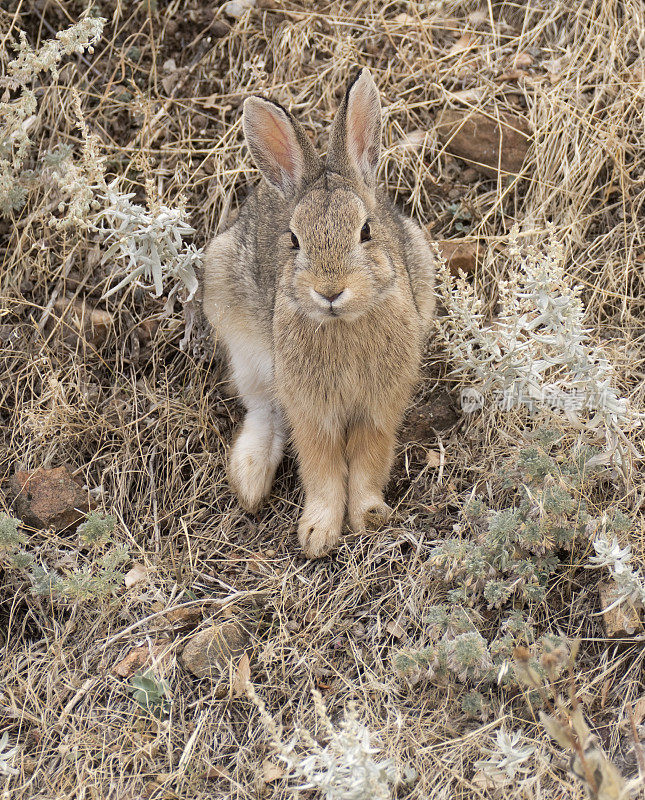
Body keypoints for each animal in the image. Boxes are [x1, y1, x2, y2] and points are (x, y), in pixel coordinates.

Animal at [201, 67, 432, 556]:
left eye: (366, 231)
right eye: (293, 239)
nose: (329, 291)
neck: (343, 324)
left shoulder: (380, 405)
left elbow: (369, 458)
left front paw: (369, 516)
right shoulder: (311, 408)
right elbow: (321, 466)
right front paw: (318, 533)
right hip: (241, 333)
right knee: (263, 407)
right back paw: (250, 479)